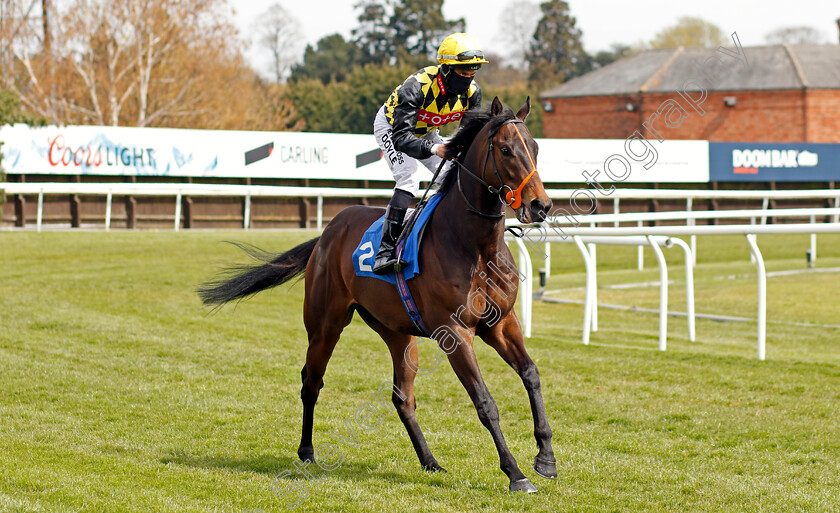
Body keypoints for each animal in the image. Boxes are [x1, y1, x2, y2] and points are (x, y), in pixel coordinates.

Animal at [199, 97, 556, 492]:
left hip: (398, 333)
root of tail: (328, 232)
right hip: (325, 325)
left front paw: (545, 457)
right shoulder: (457, 333)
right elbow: (485, 402)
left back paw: (430, 461)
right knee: (311, 381)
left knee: (402, 397)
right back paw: (307, 452)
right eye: (506, 150)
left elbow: (531, 374)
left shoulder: (501, 323)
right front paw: (515, 473)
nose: (540, 205)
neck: (474, 245)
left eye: (536, 148)